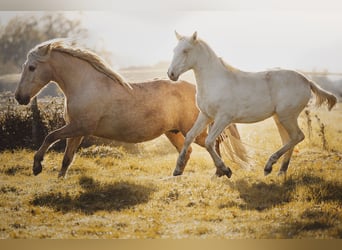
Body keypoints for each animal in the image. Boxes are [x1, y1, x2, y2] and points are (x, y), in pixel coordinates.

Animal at [16, 39, 247, 178]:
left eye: (32, 67)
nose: (20, 97)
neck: (85, 84)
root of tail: (195, 88)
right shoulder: (76, 130)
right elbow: (66, 158)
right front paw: (59, 180)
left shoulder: (80, 127)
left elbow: (49, 137)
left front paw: (37, 166)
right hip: (173, 132)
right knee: (189, 149)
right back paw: (179, 174)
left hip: (192, 130)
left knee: (213, 143)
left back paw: (221, 172)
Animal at [168, 31, 336, 178]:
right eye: (174, 50)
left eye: (186, 50)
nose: (171, 74)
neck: (215, 81)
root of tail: (306, 80)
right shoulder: (206, 115)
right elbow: (190, 136)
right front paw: (177, 170)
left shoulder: (224, 118)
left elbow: (209, 142)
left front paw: (226, 170)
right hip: (280, 118)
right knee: (289, 139)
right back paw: (280, 171)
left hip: (286, 117)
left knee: (297, 136)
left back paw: (269, 166)